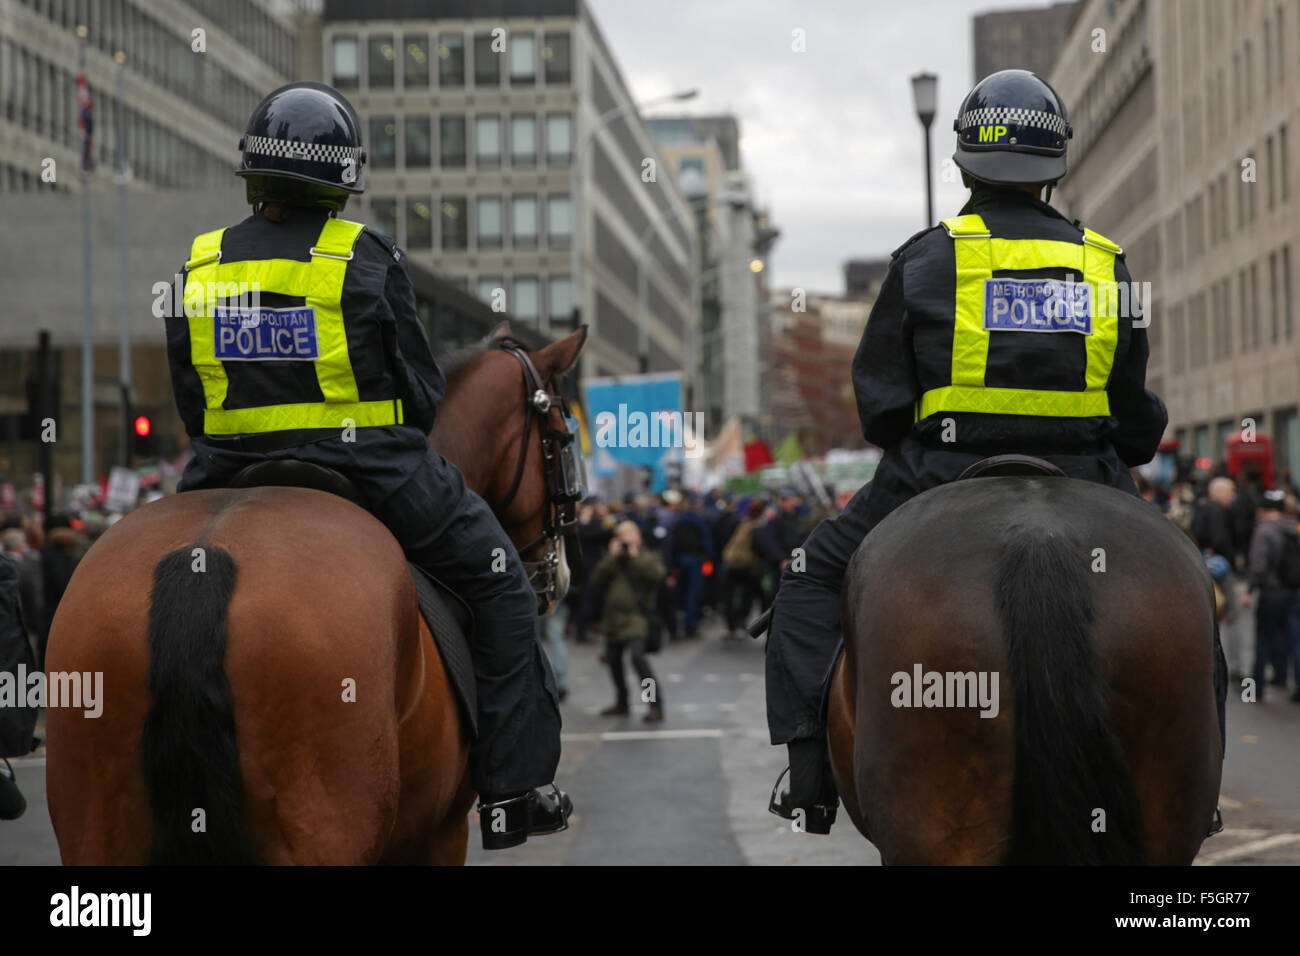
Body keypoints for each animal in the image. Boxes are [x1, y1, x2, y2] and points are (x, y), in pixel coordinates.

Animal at [44, 325, 585, 863]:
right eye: (563, 440)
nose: (560, 576)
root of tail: (203, 559)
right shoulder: (440, 833)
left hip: (99, 825)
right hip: (326, 818)